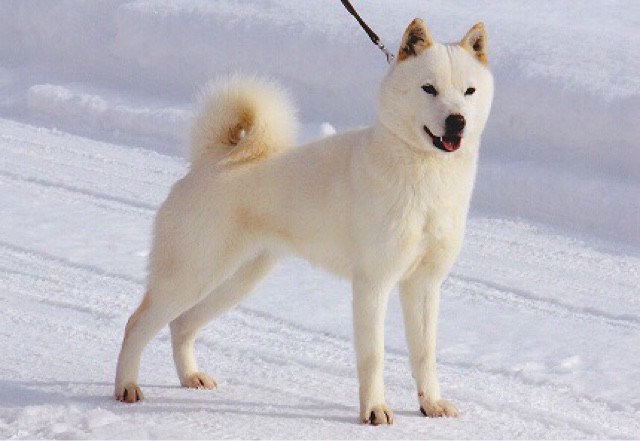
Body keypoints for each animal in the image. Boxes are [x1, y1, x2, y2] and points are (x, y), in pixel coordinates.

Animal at [115, 18, 492, 424]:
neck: (426, 175)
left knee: (181, 325)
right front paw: (375, 410)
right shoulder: (373, 284)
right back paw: (126, 387)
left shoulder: (423, 285)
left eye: (468, 91)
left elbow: (424, 354)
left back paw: (191, 377)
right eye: (429, 88)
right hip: (191, 275)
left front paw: (431, 404)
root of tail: (210, 159)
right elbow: (373, 356)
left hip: (237, 281)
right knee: (137, 323)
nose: (457, 121)